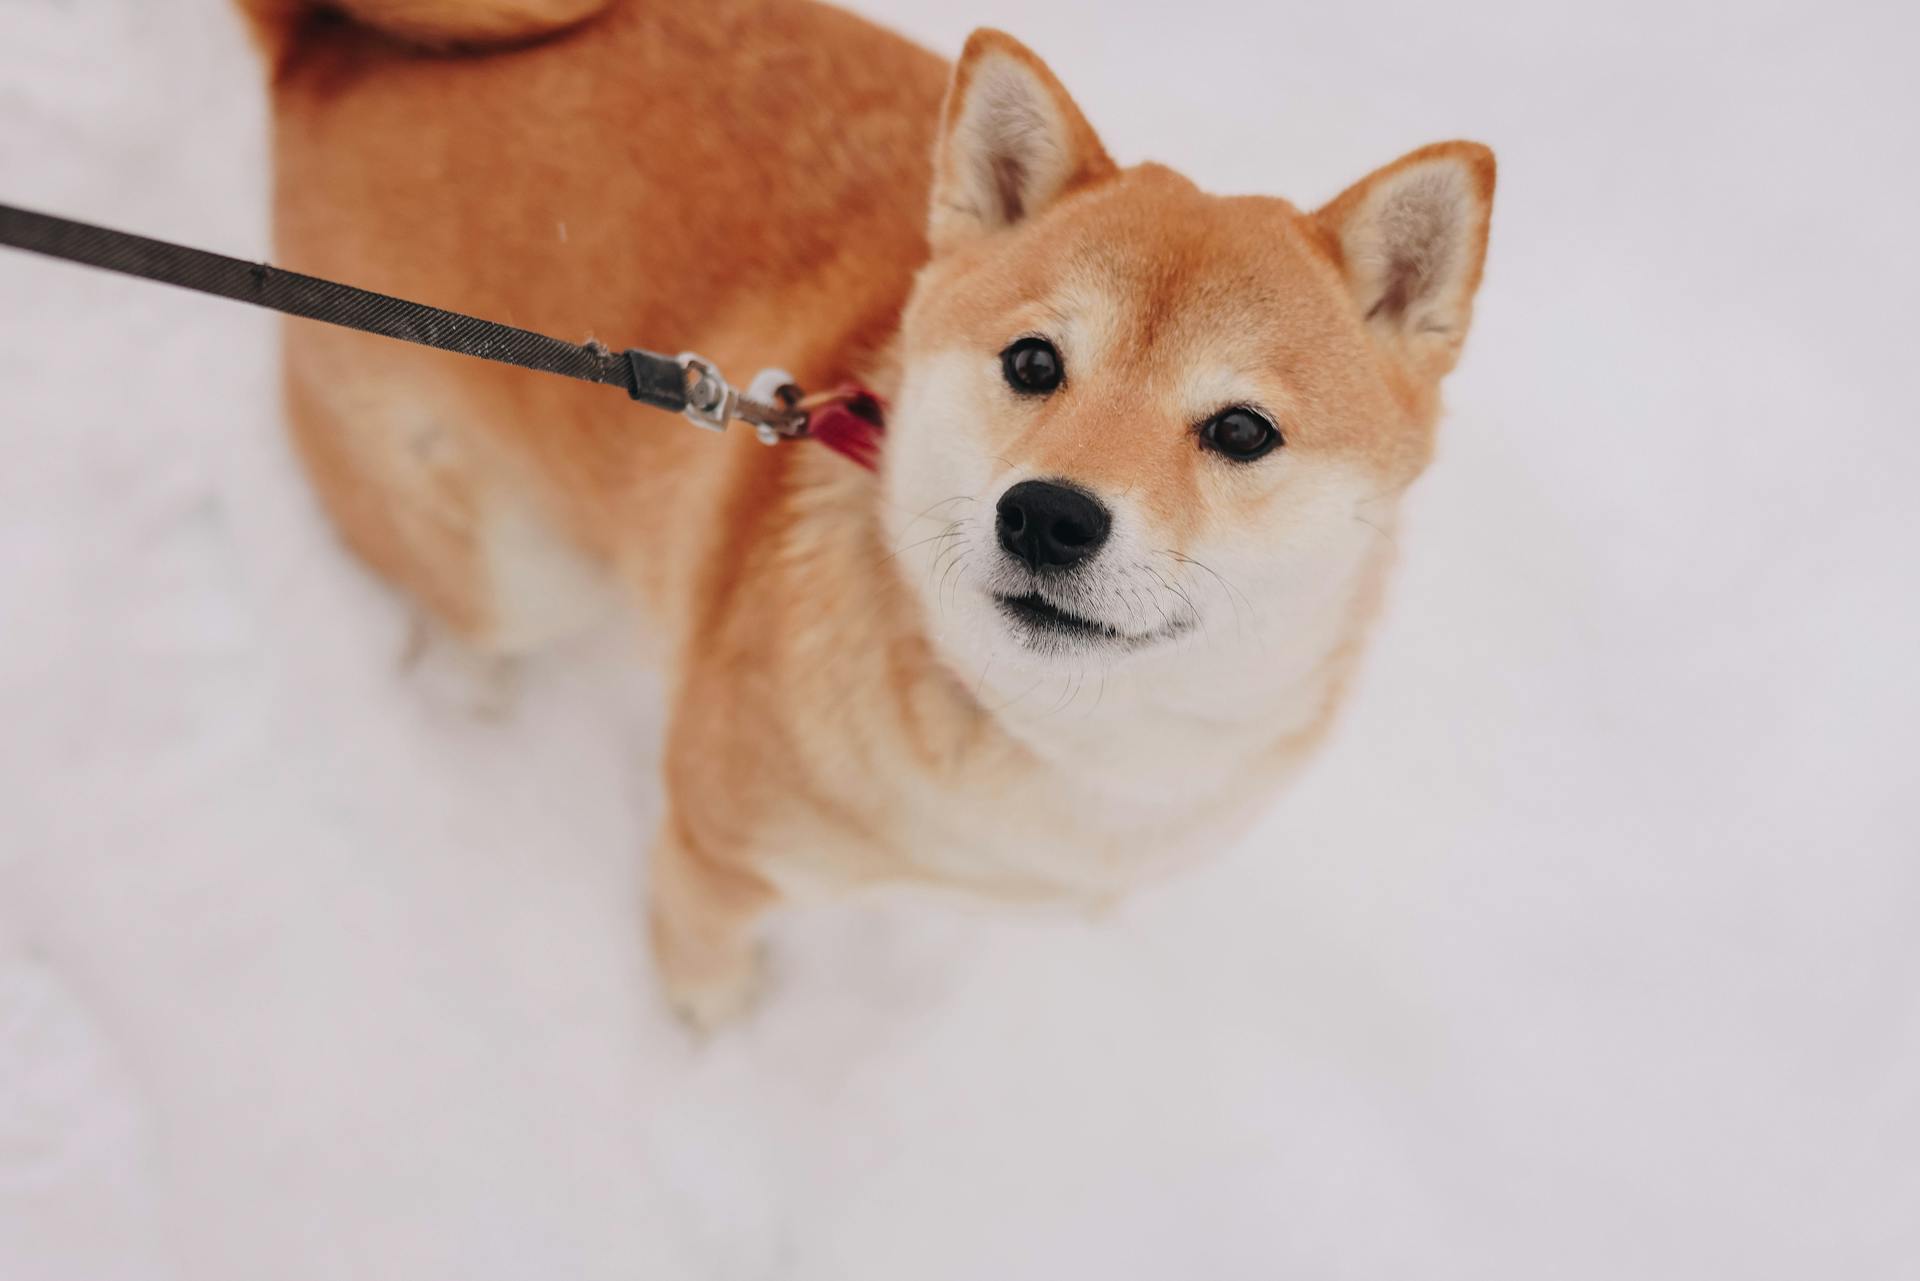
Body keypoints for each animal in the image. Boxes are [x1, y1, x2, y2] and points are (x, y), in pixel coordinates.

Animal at [236, 0, 1497, 1029]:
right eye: (1034, 362)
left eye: (1240, 431)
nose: (1047, 517)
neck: (1051, 732)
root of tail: (325, 53)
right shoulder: (715, 850)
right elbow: (703, 975)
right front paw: (715, 1042)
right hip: (517, 573)